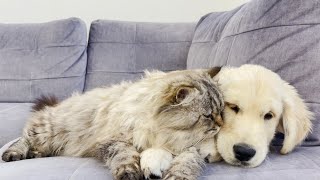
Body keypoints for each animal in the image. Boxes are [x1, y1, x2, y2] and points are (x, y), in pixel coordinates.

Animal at [1, 68, 224, 180]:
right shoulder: (112, 140)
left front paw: (178, 175)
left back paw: (36, 154)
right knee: (24, 139)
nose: (221, 124)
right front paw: (129, 172)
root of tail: (58, 105)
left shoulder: (191, 148)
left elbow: (186, 163)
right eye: (208, 115)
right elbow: (125, 155)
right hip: (47, 131)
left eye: (221, 111)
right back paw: (14, 154)